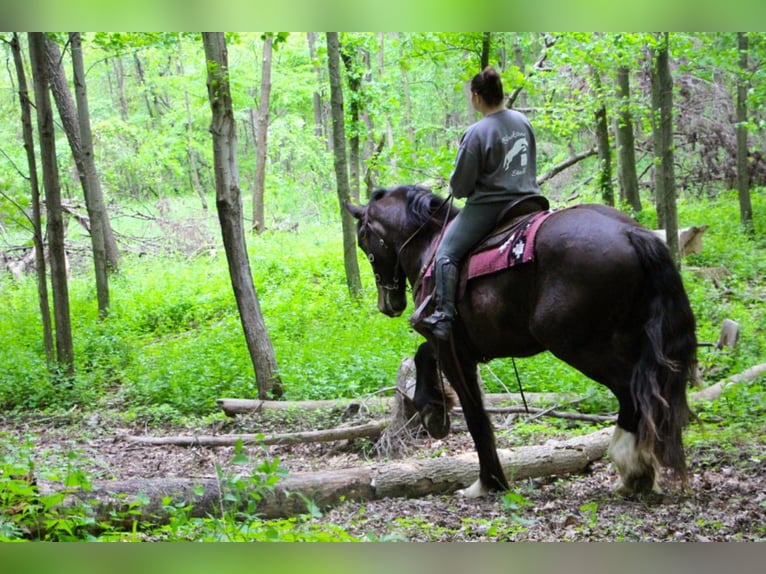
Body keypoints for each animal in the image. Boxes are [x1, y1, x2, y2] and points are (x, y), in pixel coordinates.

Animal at [350, 186, 704, 500]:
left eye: (363, 240)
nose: (388, 304)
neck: (431, 245)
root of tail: (631, 232)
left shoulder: (451, 346)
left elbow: (476, 415)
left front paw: (488, 482)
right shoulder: (458, 346)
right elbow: (424, 355)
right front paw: (434, 409)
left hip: (576, 345)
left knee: (631, 392)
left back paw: (631, 469)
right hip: (626, 339)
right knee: (649, 396)